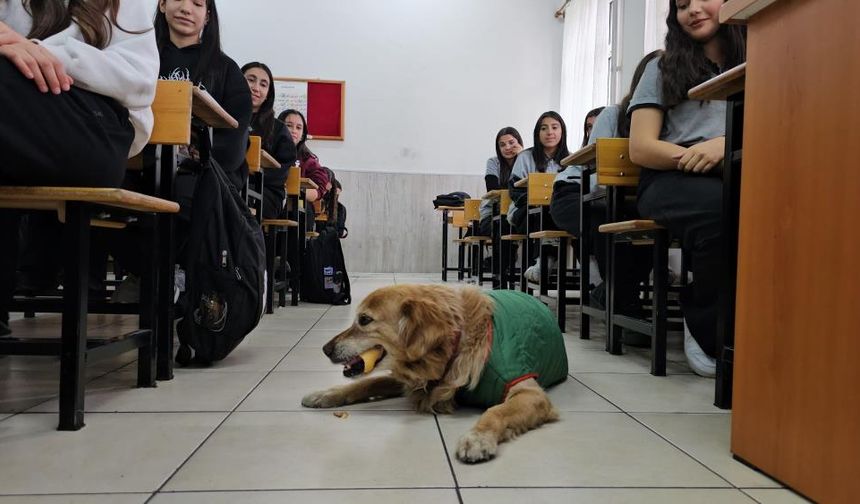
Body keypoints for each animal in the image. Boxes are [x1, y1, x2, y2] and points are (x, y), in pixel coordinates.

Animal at [302, 284, 572, 460]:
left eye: (365, 320)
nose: (325, 349)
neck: (451, 347)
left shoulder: (529, 391)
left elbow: (497, 411)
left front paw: (477, 437)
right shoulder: (412, 379)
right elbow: (365, 384)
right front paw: (325, 394)